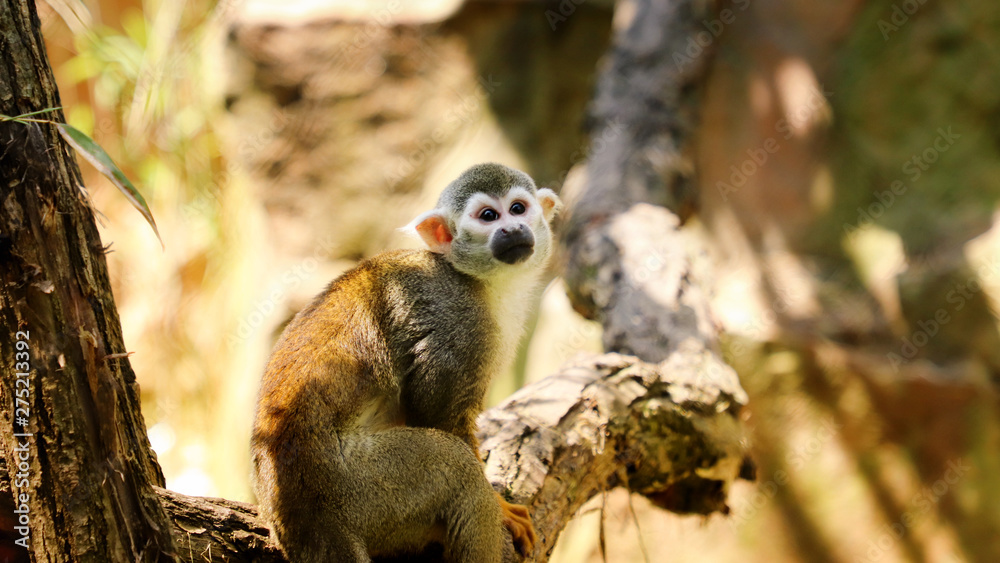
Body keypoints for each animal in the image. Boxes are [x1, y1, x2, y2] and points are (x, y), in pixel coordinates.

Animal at [251, 163, 562, 563]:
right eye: (488, 216)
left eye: (518, 208)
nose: (511, 229)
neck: (478, 281)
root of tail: (308, 523)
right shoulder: (457, 319)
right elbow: (436, 414)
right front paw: (501, 507)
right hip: (358, 487)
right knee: (456, 465)